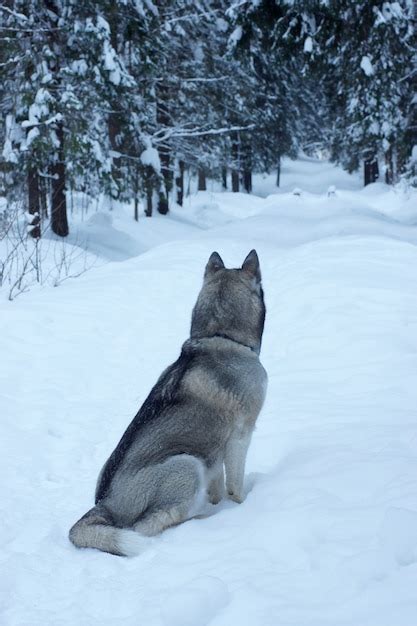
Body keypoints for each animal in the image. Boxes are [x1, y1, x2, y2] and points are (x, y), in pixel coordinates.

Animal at [69, 249, 266, 556]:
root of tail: (104, 505)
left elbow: (218, 487)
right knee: (148, 526)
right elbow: (235, 487)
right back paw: (200, 521)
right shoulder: (240, 437)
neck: (219, 336)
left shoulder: (214, 453)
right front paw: (237, 509)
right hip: (186, 464)